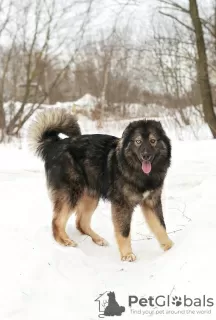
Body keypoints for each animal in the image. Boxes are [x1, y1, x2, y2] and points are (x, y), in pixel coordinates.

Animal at [27, 106, 173, 262]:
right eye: (138, 141)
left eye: (153, 141)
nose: (146, 155)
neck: (142, 174)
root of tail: (54, 144)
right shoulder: (122, 205)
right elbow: (124, 231)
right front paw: (127, 254)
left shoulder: (151, 202)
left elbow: (160, 226)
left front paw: (170, 248)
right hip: (71, 194)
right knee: (57, 221)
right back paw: (64, 241)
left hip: (91, 196)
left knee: (81, 223)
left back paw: (98, 239)